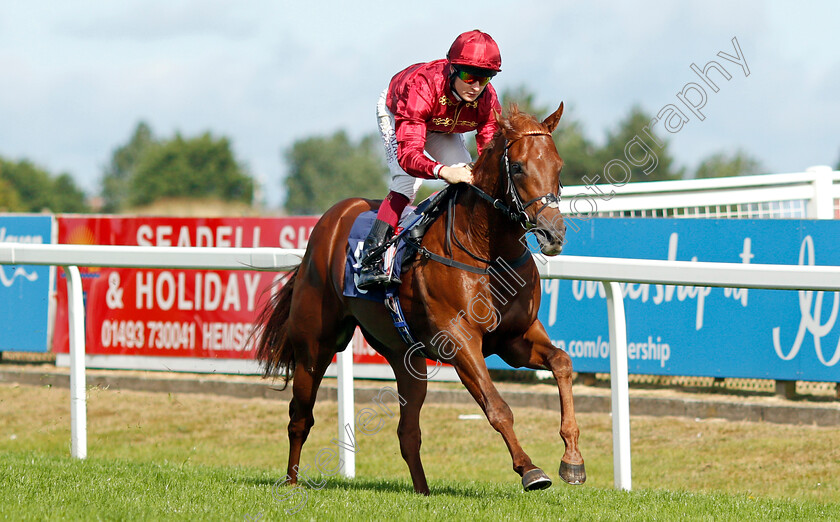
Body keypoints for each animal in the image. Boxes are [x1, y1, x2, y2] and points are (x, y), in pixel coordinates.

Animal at [253, 101, 588, 492]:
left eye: (559, 166)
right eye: (518, 167)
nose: (553, 233)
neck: (489, 254)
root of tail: (331, 219)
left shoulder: (515, 339)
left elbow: (562, 362)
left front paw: (573, 460)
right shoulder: (459, 340)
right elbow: (497, 407)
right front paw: (530, 469)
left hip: (405, 357)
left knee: (407, 432)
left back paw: (423, 491)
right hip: (314, 344)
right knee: (300, 417)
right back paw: (291, 482)